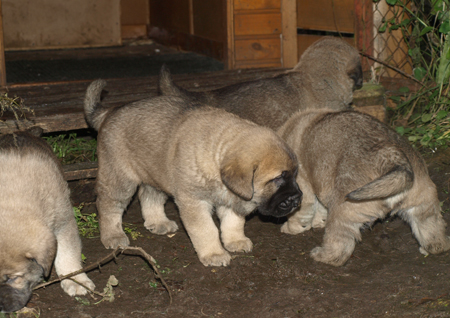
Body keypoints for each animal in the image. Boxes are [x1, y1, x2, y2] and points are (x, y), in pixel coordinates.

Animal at [84, 79, 302, 266]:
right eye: (278, 178)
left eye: (294, 175)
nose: (297, 199)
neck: (216, 156)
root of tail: (110, 112)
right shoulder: (194, 202)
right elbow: (206, 229)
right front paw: (214, 254)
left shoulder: (231, 198)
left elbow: (233, 221)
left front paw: (235, 240)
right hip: (119, 177)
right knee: (108, 205)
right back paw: (112, 235)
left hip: (155, 173)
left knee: (149, 196)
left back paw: (158, 222)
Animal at [278, 110, 450, 268]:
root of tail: (392, 157)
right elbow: (319, 209)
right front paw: (317, 222)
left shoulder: (303, 188)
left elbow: (300, 214)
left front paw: (291, 228)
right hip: (423, 205)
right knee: (434, 236)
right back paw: (431, 247)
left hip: (343, 209)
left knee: (339, 248)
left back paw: (322, 256)